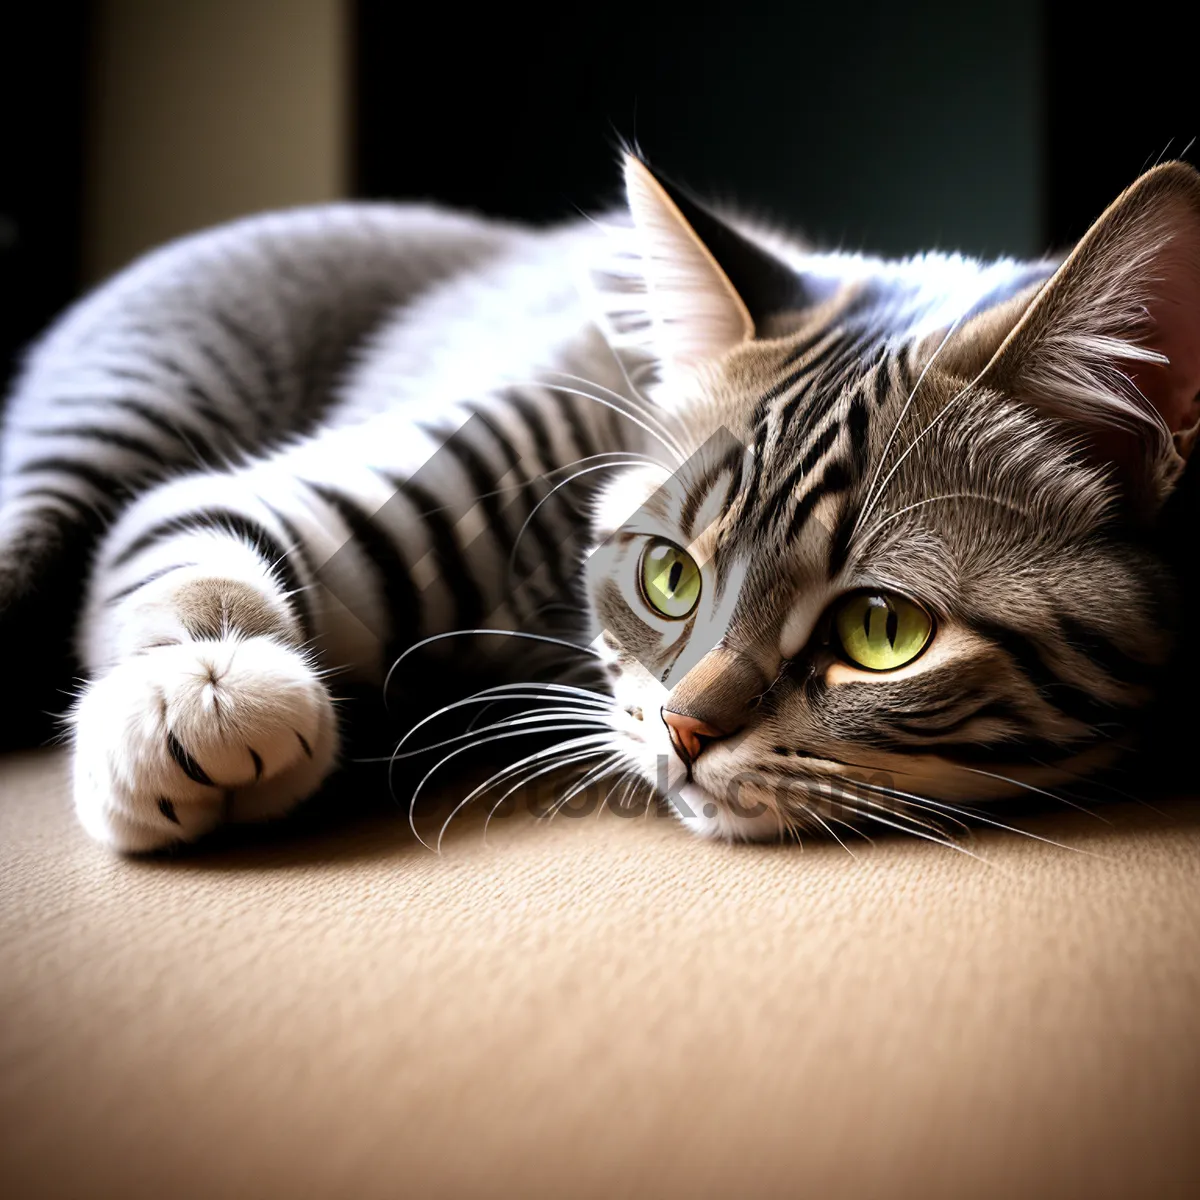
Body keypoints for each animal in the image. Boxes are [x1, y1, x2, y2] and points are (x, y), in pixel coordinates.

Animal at [2, 157, 1200, 854]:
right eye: (671, 575)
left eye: (883, 631)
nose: (683, 731)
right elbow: (192, 540)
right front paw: (198, 690)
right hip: (113, 416)